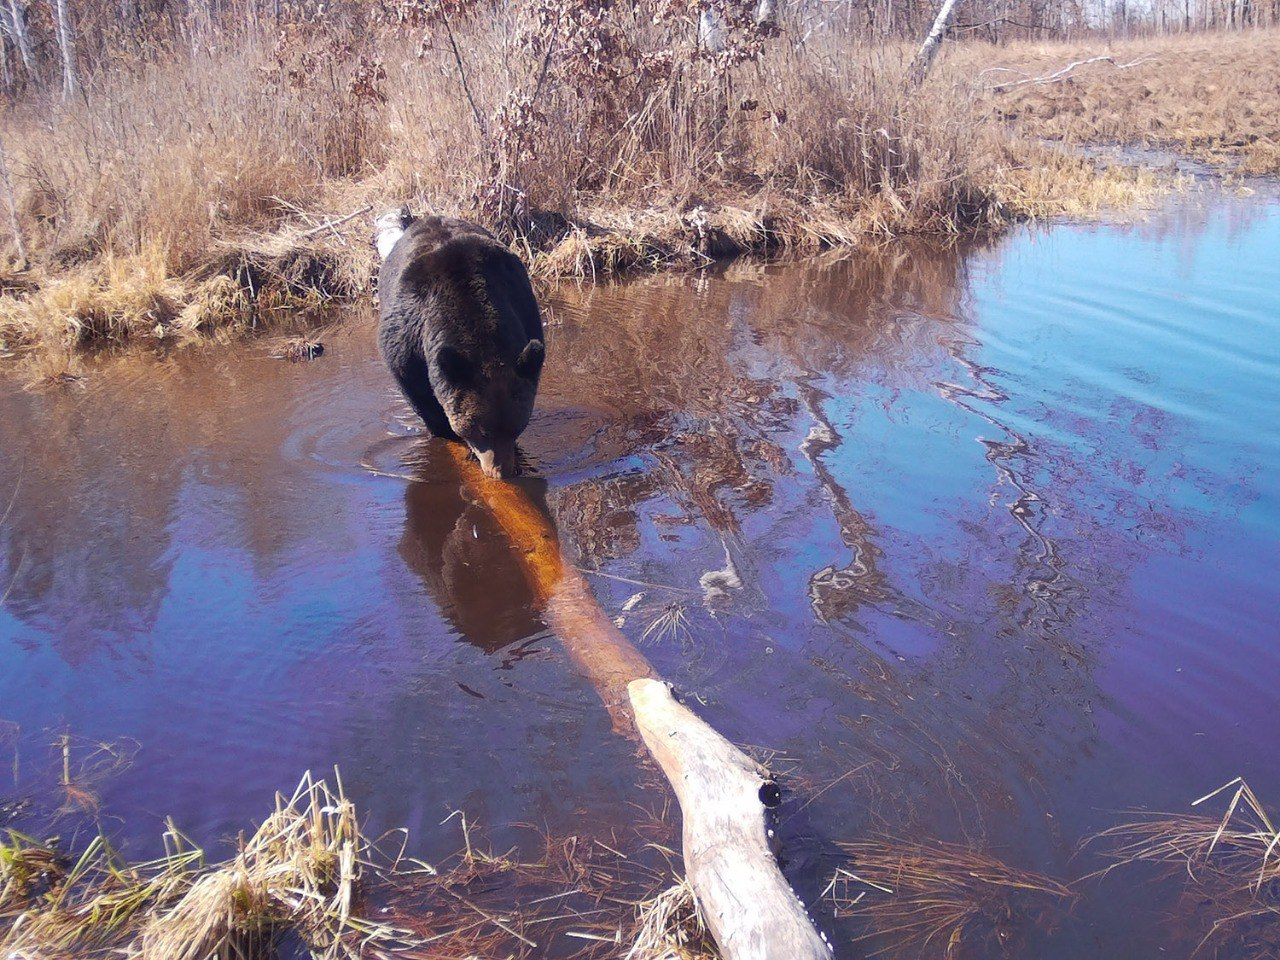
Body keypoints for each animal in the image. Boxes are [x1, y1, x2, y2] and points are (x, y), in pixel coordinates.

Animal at [373, 209, 545, 481]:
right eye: (480, 430)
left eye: (516, 426)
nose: (501, 472)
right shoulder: (408, 342)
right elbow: (418, 392)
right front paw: (446, 432)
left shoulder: (524, 310)